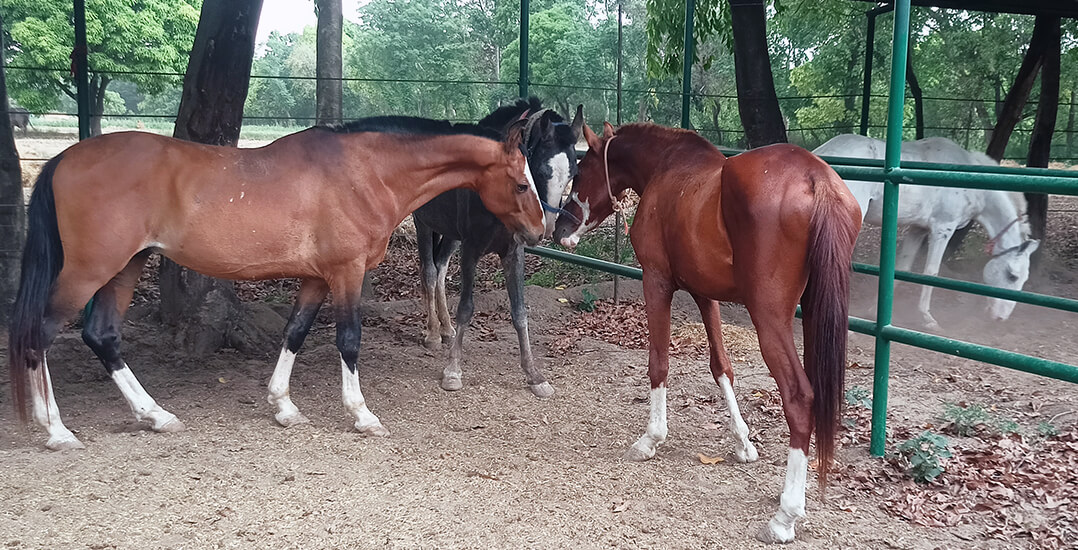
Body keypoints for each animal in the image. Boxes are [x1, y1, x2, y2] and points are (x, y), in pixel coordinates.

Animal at [8, 115, 547, 450]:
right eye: (523, 183)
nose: (539, 231)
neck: (364, 172)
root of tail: (64, 159)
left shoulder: (316, 278)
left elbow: (294, 334)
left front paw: (283, 407)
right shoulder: (346, 273)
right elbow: (349, 341)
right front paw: (361, 414)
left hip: (124, 268)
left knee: (102, 335)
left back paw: (155, 415)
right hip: (89, 271)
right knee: (40, 333)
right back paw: (56, 431)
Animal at [409, 97, 582, 394]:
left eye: (573, 172)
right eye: (542, 169)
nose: (546, 228)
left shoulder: (513, 252)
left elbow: (519, 312)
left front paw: (534, 375)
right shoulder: (472, 249)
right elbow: (466, 307)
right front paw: (453, 371)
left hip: (451, 235)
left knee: (440, 269)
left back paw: (446, 329)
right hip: (424, 225)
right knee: (429, 272)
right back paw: (432, 333)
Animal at [551, 122, 862, 543]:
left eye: (581, 170)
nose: (560, 229)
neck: (667, 168)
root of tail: (817, 180)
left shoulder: (656, 281)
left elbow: (659, 363)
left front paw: (651, 439)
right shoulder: (704, 294)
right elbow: (721, 366)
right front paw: (743, 442)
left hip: (770, 318)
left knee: (799, 398)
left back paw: (785, 517)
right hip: (814, 315)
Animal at [810, 134, 1039, 327]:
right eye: (1012, 276)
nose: (1000, 317)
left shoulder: (918, 229)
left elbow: (902, 268)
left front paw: (874, 310)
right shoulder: (942, 229)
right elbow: (931, 272)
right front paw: (928, 319)